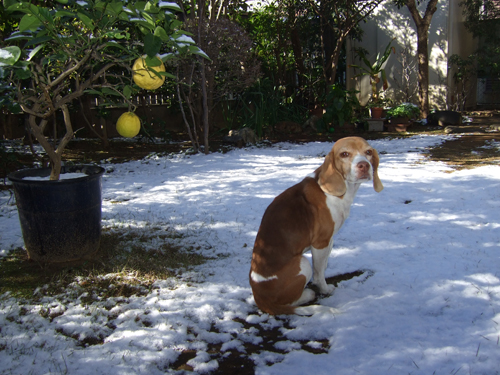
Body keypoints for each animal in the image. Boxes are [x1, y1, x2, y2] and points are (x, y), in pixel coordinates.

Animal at [249, 137, 382, 316]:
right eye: (344, 154)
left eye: (368, 152)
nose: (364, 165)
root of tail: (262, 301)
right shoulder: (320, 243)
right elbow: (319, 274)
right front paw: (324, 289)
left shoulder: (329, 240)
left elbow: (324, 266)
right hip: (302, 263)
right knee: (292, 301)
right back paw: (307, 294)